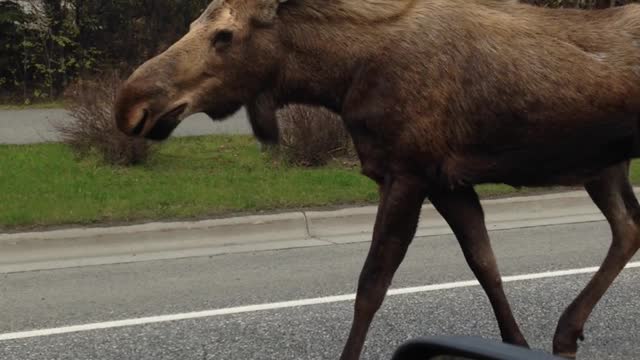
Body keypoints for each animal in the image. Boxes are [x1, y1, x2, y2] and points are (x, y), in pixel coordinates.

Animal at [112, 0, 640, 358]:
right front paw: (516, 342)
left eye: (224, 35)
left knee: (626, 228)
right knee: (628, 227)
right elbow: (484, 263)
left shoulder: (406, 172)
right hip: (605, 166)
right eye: (193, 25)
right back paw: (567, 332)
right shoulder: (446, 181)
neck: (341, 77)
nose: (130, 105)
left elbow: (371, 286)